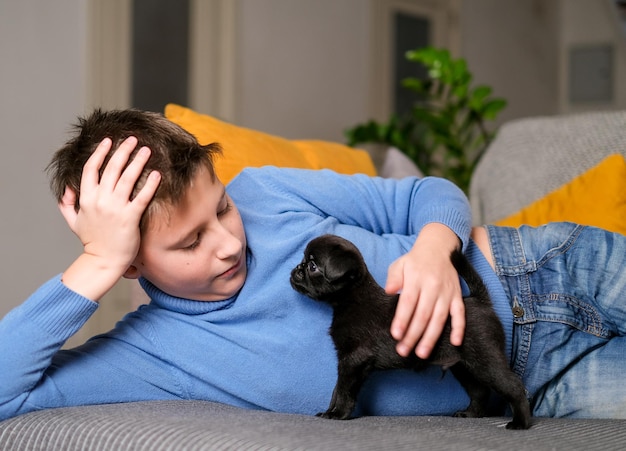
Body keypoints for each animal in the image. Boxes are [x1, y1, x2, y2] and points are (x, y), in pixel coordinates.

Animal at [290, 235, 528, 430]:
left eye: (313, 266)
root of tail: (480, 301)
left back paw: (521, 422)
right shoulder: (348, 362)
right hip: (463, 367)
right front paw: (329, 411)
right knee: (479, 391)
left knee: (514, 386)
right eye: (305, 262)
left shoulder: (352, 360)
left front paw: (338, 413)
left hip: (485, 360)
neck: (352, 298)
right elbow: (336, 388)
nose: (297, 269)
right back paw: (470, 413)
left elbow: (343, 389)